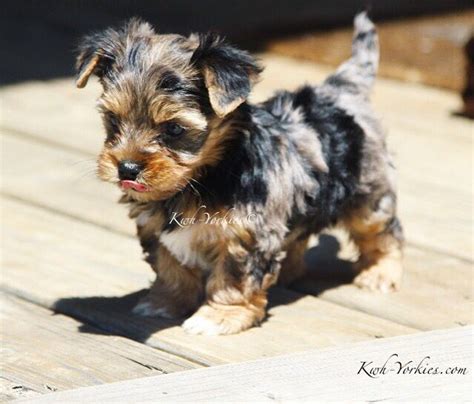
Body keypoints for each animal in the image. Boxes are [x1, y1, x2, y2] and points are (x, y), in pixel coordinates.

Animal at [76, 12, 402, 334]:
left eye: (174, 129)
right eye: (112, 120)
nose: (127, 168)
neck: (204, 176)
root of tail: (340, 91)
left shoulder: (245, 234)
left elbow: (233, 278)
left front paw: (219, 316)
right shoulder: (157, 229)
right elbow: (171, 267)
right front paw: (164, 303)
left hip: (368, 192)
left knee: (381, 231)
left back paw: (380, 273)